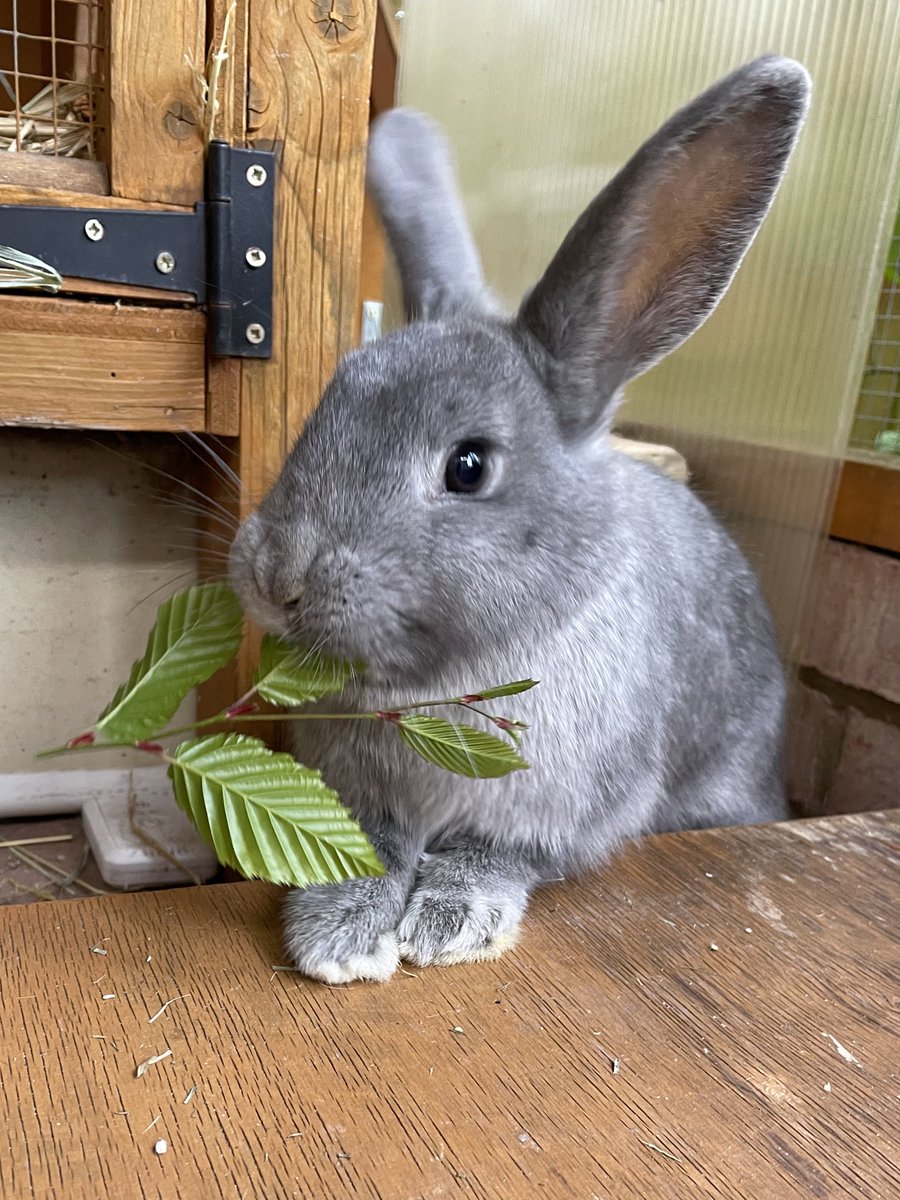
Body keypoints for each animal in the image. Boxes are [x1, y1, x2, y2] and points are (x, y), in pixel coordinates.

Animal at [230, 56, 811, 979]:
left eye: (468, 467)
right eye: (327, 402)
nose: (276, 578)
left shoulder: (563, 810)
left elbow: (489, 854)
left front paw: (448, 924)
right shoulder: (366, 797)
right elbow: (372, 847)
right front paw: (341, 932)